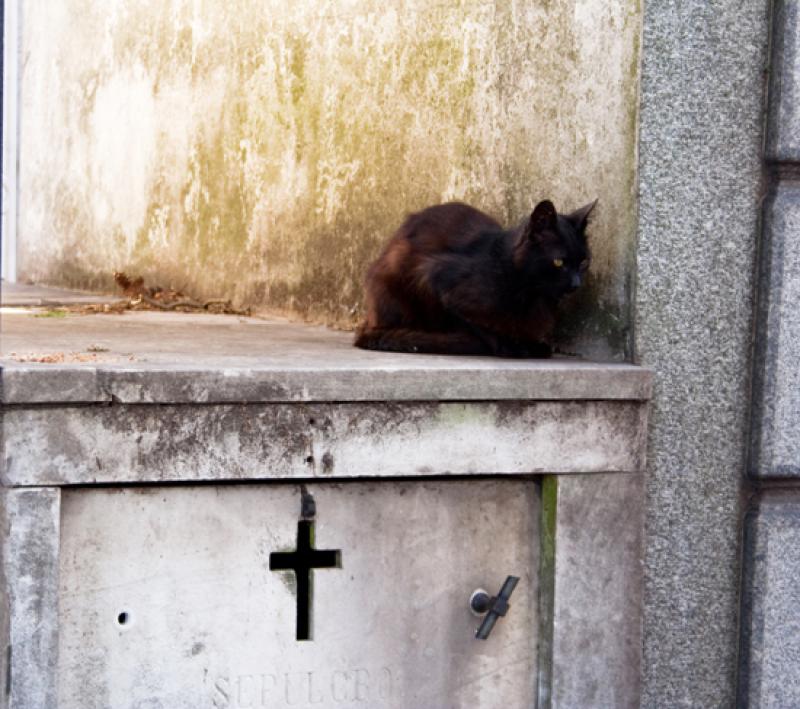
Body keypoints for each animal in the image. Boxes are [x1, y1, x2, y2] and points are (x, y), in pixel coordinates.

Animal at [354, 198, 592, 354]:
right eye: (559, 262)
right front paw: (511, 346)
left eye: (583, 262)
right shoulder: (435, 277)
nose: (576, 283)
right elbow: (479, 325)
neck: (529, 292)